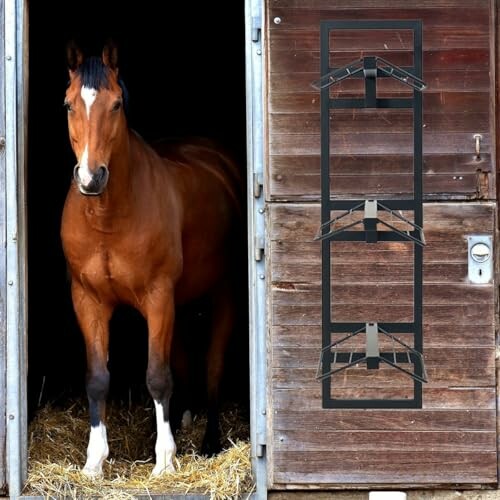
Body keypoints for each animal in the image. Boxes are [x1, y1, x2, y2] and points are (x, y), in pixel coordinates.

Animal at [60, 42, 244, 476]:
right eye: (69, 104)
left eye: (116, 104)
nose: (91, 178)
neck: (108, 217)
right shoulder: (88, 300)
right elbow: (97, 378)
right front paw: (94, 461)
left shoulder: (158, 297)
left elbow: (158, 376)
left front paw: (164, 461)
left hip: (223, 293)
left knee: (213, 365)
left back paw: (209, 441)